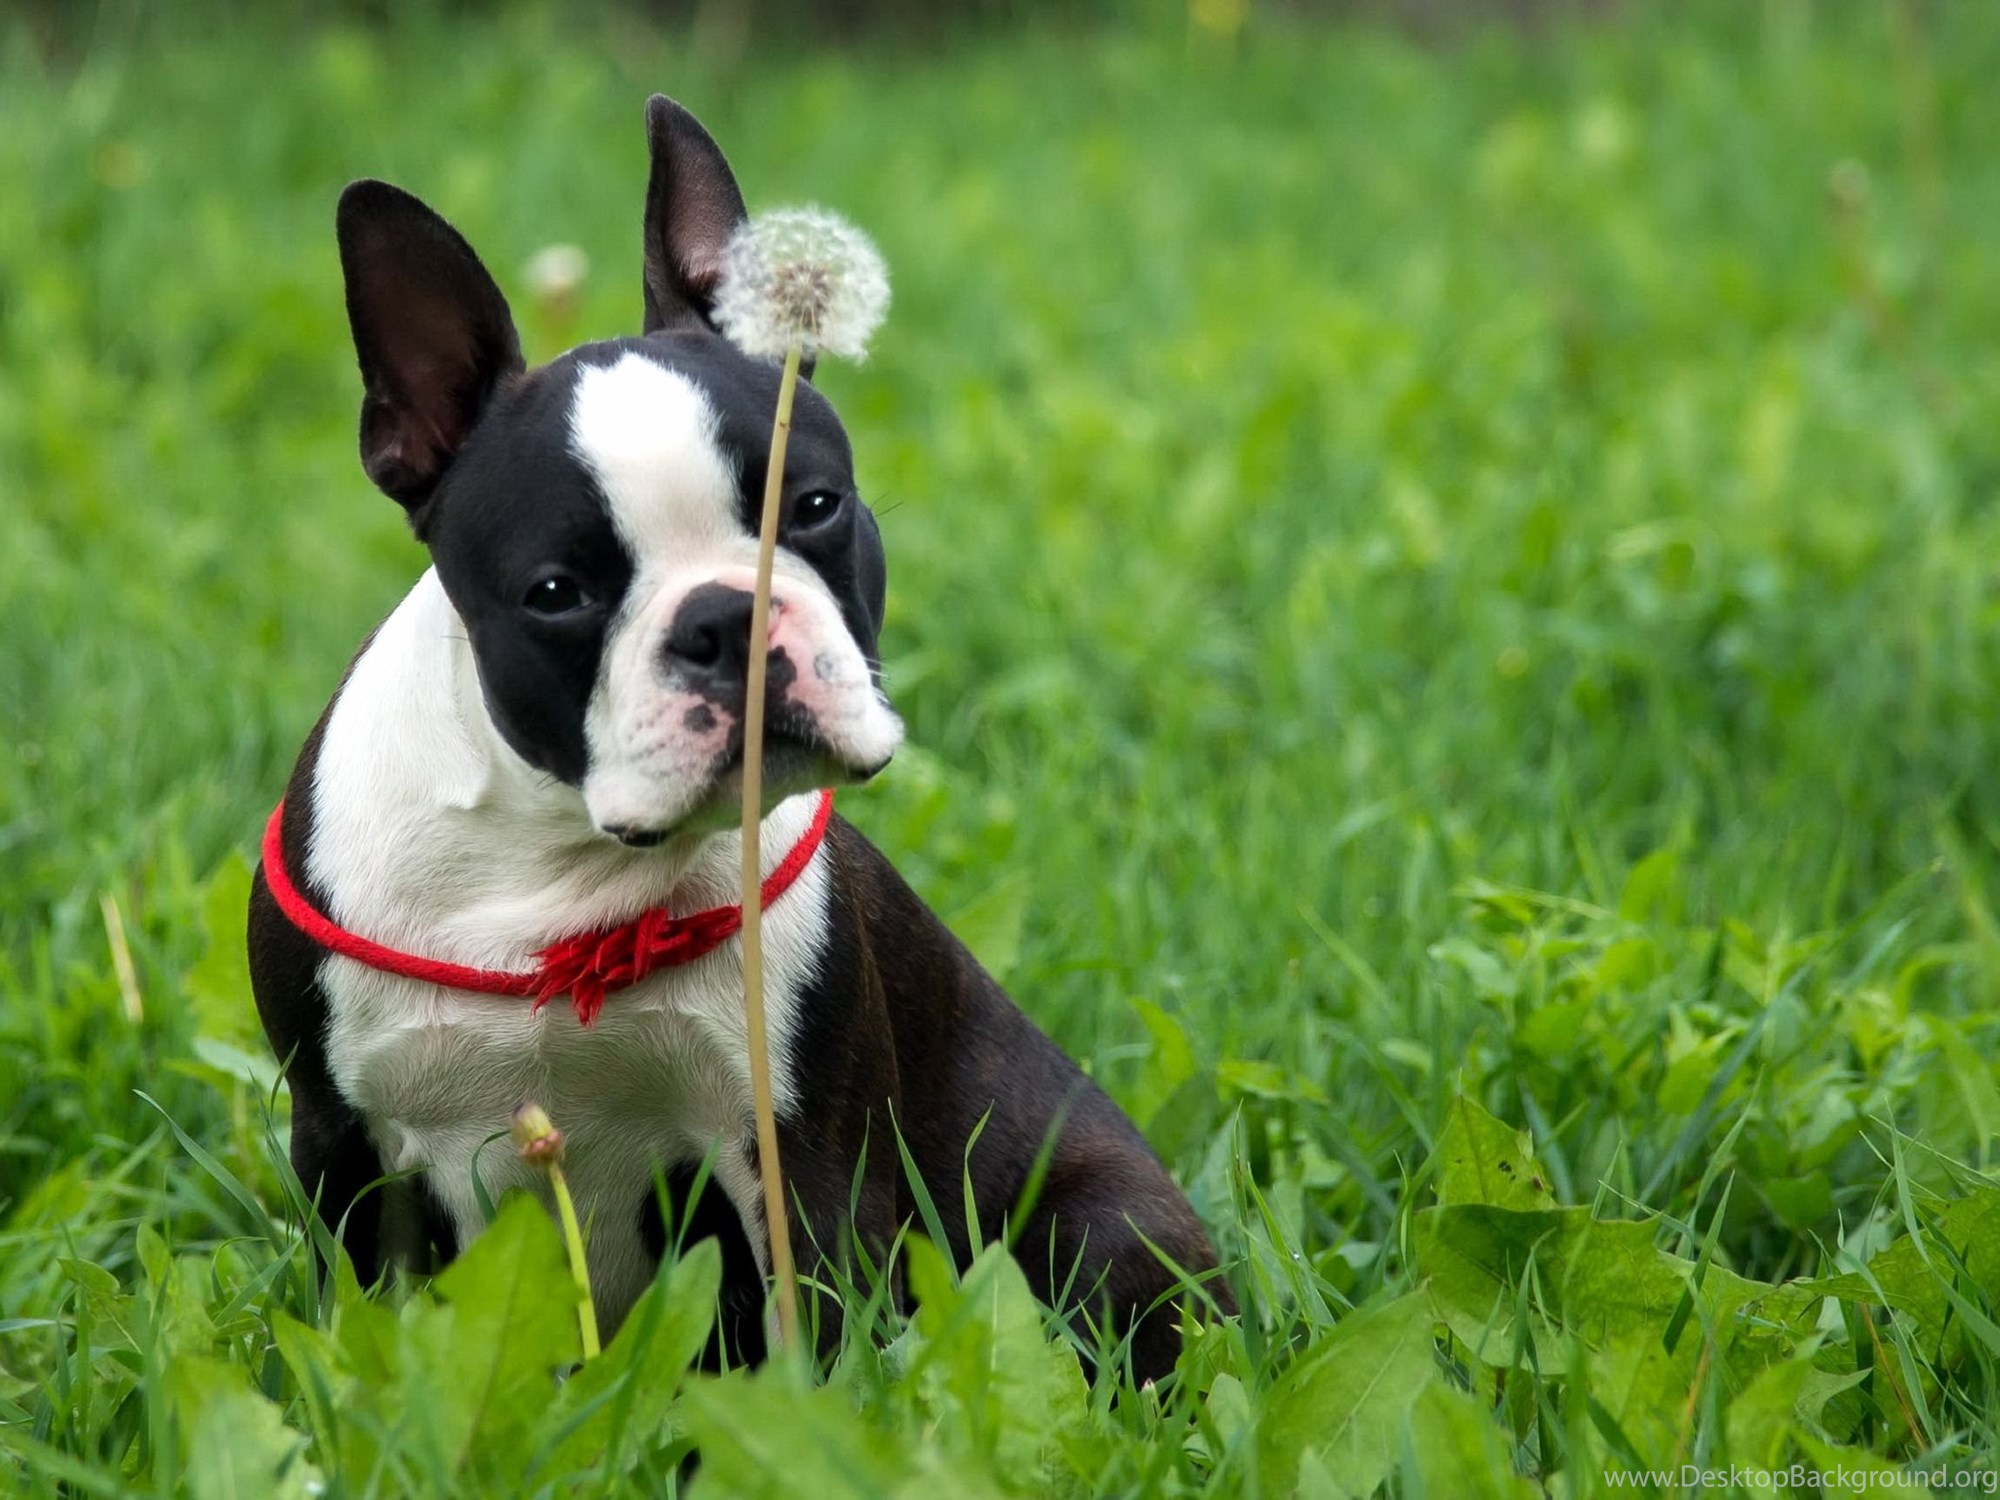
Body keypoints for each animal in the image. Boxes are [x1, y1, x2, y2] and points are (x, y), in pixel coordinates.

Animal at [248, 95, 1229, 1383]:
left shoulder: (798, 1153)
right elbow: (363, 1343)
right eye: (557, 592)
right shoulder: (349, 1155)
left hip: (1099, 1221)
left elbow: (816, 1345)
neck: (561, 866)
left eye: (811, 508)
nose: (727, 615)